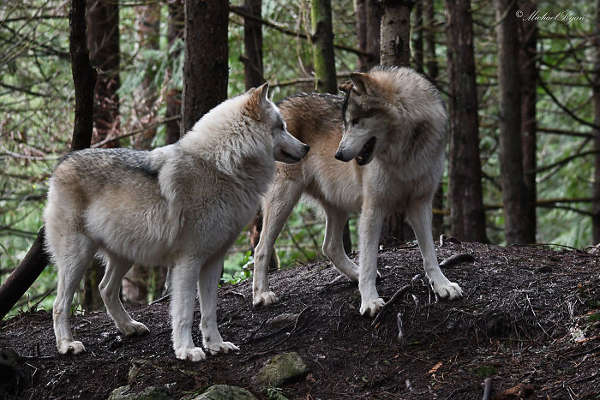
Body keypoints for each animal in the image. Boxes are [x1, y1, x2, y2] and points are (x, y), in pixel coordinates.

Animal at [42, 83, 310, 360]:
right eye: (281, 126)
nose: (306, 147)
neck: (222, 166)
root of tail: (62, 163)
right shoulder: (188, 262)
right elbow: (184, 312)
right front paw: (186, 350)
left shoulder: (214, 261)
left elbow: (209, 312)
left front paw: (216, 345)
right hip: (77, 258)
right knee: (60, 304)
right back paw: (67, 345)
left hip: (125, 256)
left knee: (106, 288)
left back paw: (129, 327)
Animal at [253, 66, 464, 316]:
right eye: (345, 123)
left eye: (355, 121)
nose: (338, 154)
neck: (405, 154)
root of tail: (280, 105)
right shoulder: (373, 208)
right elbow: (370, 261)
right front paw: (370, 301)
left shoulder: (420, 203)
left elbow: (429, 253)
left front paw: (442, 285)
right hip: (284, 201)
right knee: (261, 248)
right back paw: (262, 295)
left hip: (337, 205)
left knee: (330, 246)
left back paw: (353, 274)